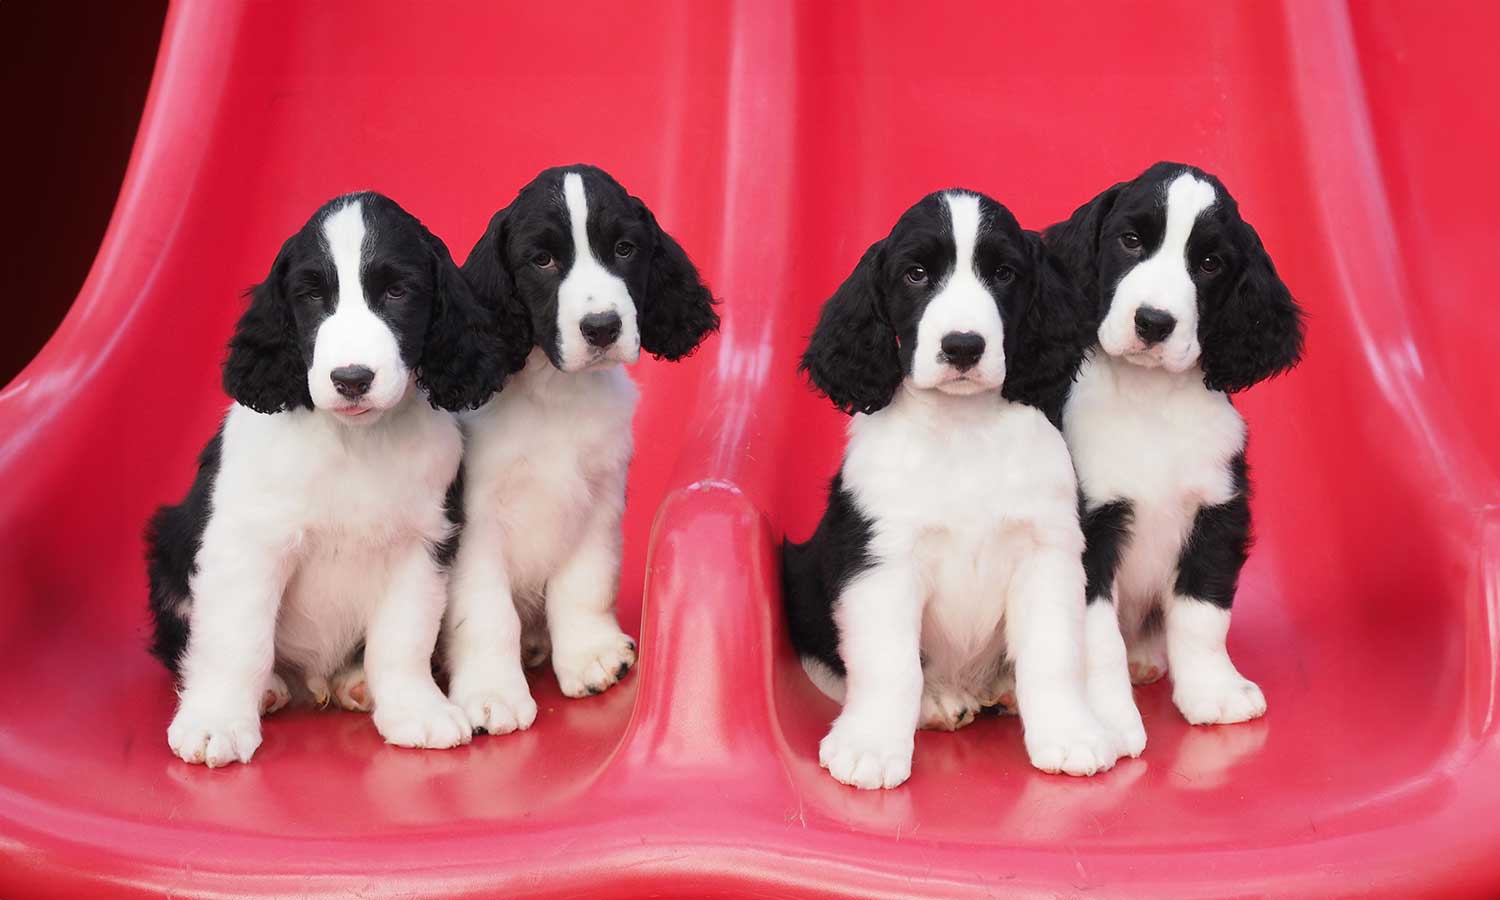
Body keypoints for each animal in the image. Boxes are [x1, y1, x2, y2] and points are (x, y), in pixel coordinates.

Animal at [147, 191, 510, 765]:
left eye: (398, 291)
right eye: (312, 295)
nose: (352, 379)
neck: (353, 442)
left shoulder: (423, 543)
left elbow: (404, 638)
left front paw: (415, 709)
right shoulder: (246, 542)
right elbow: (237, 639)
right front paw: (216, 721)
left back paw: (355, 682)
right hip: (168, 549)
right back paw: (268, 690)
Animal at [444, 165, 720, 735]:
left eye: (624, 248)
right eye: (542, 260)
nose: (602, 328)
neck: (554, 395)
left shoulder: (599, 497)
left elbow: (584, 581)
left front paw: (591, 656)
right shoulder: (473, 521)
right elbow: (484, 611)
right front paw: (491, 692)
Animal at [780, 189, 1140, 786]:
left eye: (1003, 273)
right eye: (916, 274)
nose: (963, 346)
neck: (962, 429)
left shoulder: (1048, 553)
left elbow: (1053, 654)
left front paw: (1068, 734)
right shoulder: (880, 560)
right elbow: (889, 664)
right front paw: (870, 744)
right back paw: (935, 704)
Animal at [1044, 162, 1302, 723]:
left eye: (1209, 263)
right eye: (1131, 240)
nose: (1154, 322)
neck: (1151, 400)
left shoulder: (1217, 510)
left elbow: (1203, 612)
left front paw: (1214, 691)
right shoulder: (1087, 526)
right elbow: (1095, 634)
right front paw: (1103, 716)